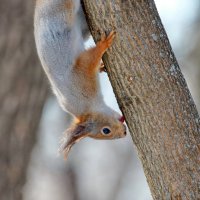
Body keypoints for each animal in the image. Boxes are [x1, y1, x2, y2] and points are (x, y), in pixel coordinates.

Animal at [33, 0, 126, 158]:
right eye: (106, 131)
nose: (124, 133)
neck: (86, 107)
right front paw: (102, 63)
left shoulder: (80, 73)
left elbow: (90, 58)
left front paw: (104, 45)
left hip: (63, 9)